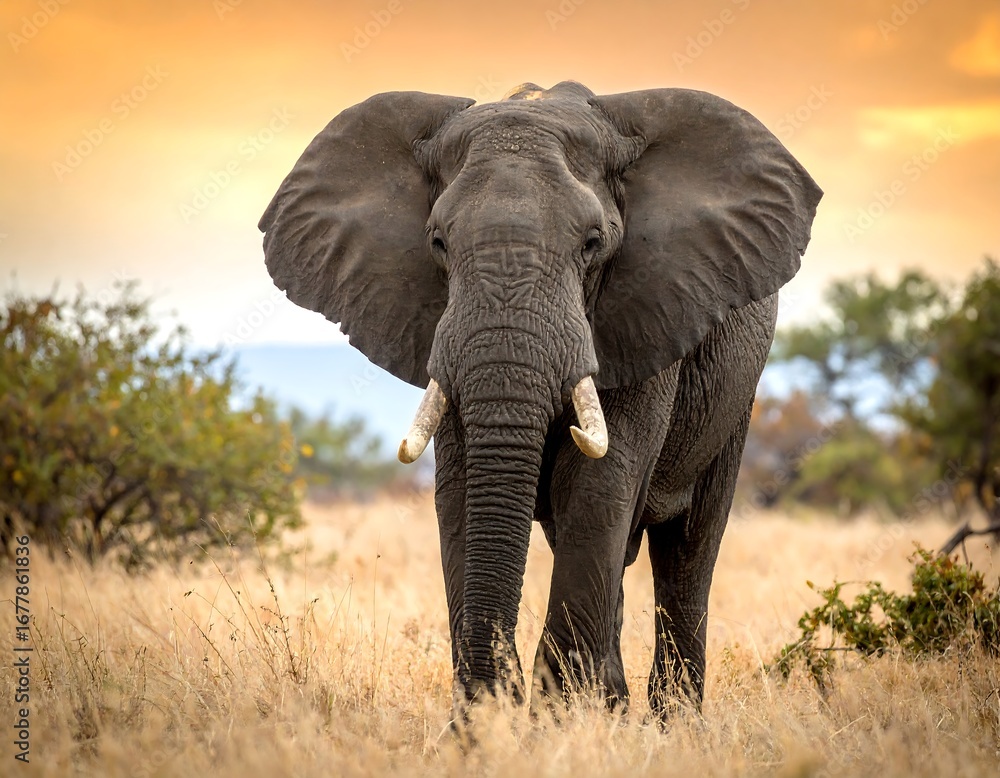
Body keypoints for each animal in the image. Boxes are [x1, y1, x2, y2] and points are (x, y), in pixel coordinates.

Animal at [259, 81, 821, 719]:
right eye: (438, 242)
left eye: (594, 243)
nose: (498, 700)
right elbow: (462, 494)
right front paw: (496, 724)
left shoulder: (646, 313)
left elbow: (598, 488)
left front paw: (558, 722)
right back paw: (616, 708)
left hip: (737, 395)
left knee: (688, 548)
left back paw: (672, 722)